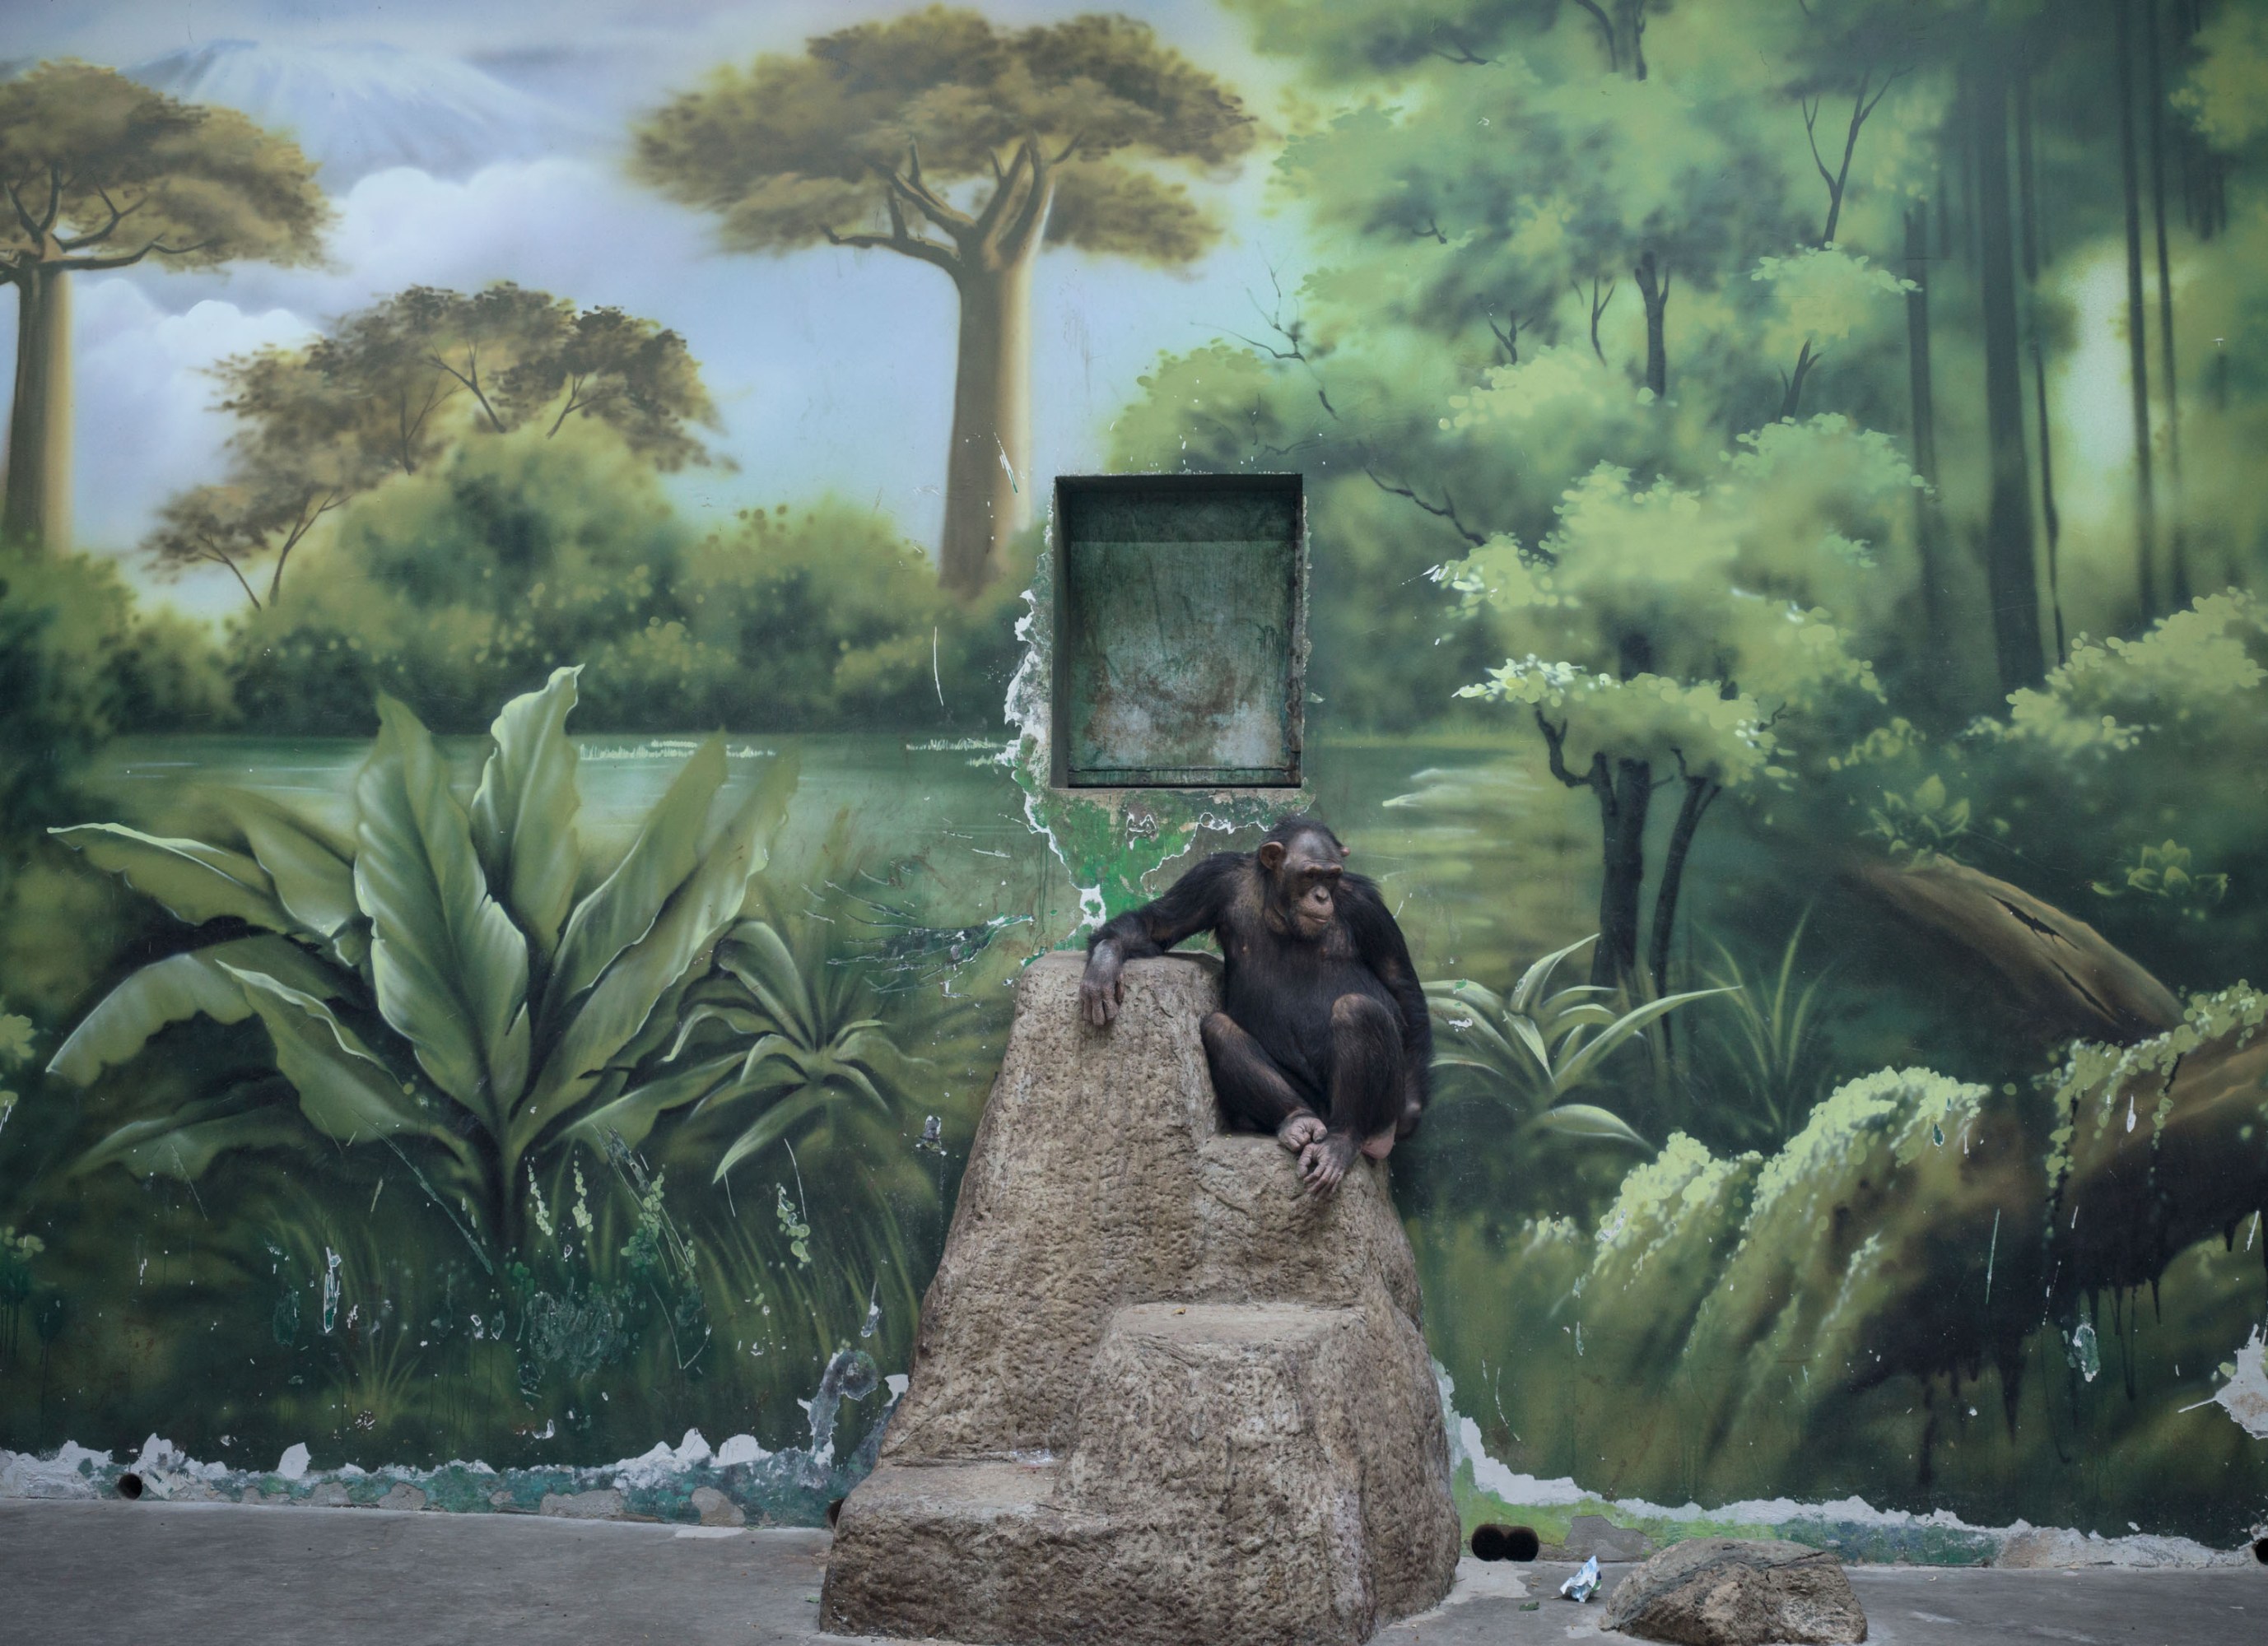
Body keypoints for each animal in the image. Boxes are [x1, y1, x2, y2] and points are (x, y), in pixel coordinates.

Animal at [1080, 814, 1430, 1196]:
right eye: (1310, 875)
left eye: (1332, 876)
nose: (1322, 896)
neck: (1279, 905)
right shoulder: (1212, 879)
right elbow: (1158, 925)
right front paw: (1105, 961)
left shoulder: (1367, 907)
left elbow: (1399, 983)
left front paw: (1411, 1112)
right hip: (1303, 1096)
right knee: (1218, 1029)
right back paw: (1296, 1121)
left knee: (1357, 1010)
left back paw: (1342, 1141)